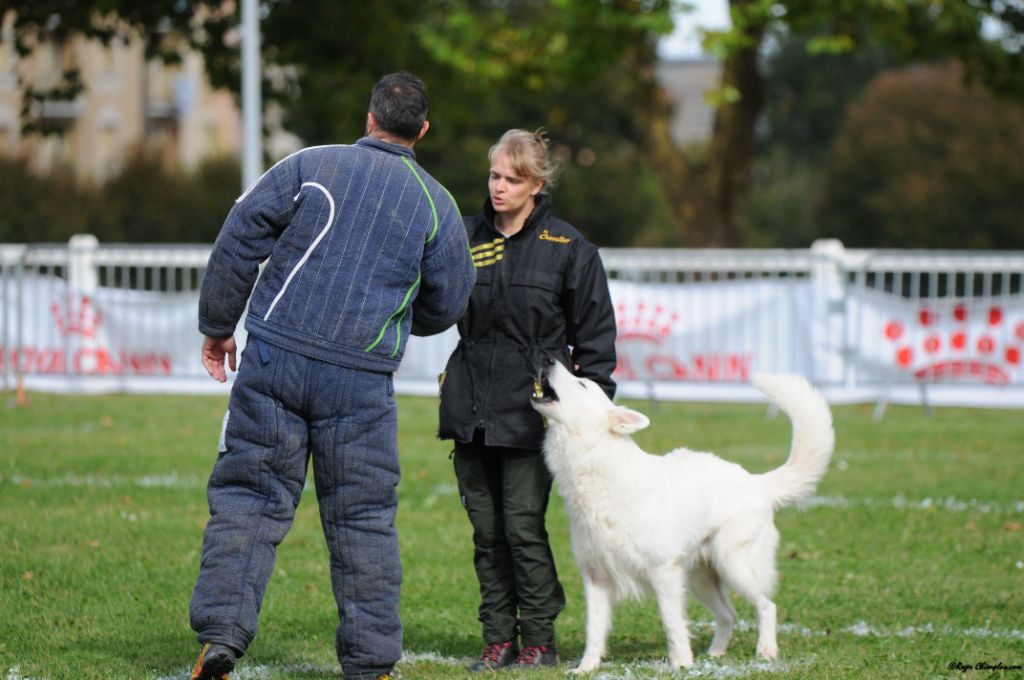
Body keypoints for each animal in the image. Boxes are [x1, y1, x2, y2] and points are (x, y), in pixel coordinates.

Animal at [532, 360, 835, 667]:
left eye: (582, 383)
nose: (548, 360)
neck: (598, 465)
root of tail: (758, 482)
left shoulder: (664, 572)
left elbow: (672, 622)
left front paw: (681, 663)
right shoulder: (596, 578)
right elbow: (593, 629)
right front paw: (586, 667)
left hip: (735, 565)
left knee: (767, 606)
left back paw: (766, 651)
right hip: (700, 578)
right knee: (729, 615)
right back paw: (715, 654)